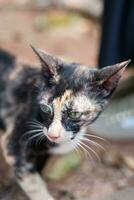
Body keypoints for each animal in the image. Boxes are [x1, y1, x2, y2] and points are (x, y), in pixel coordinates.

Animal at [0, 45, 130, 200]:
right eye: (45, 108)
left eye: (74, 114)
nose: (53, 134)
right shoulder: (14, 145)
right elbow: (33, 182)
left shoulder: (43, 154)